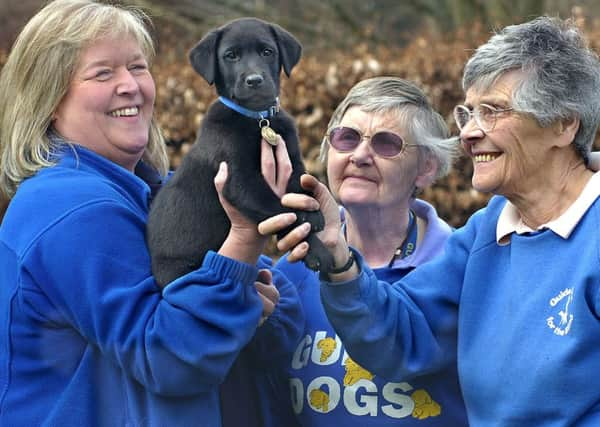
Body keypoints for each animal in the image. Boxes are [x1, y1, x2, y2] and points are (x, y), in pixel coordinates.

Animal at [145, 17, 332, 288]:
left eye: (267, 52)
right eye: (231, 56)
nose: (254, 80)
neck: (258, 120)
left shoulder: (292, 159)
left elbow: (300, 183)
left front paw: (311, 211)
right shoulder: (241, 183)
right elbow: (282, 211)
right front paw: (316, 248)